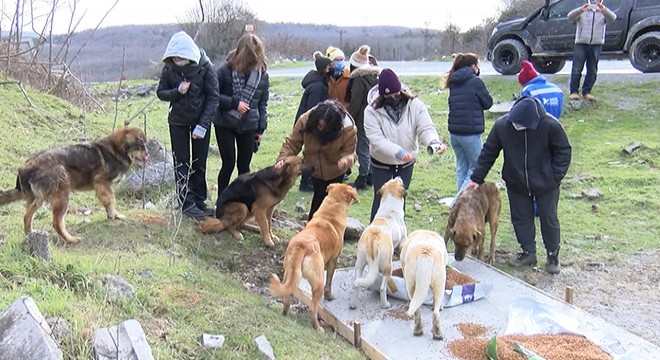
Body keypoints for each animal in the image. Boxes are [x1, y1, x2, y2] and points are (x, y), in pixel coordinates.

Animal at [0, 127, 148, 245]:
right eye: (141, 146)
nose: (148, 156)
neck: (116, 150)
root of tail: (25, 167)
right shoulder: (101, 182)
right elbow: (111, 200)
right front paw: (113, 215)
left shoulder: (103, 186)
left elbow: (109, 201)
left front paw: (114, 214)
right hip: (62, 195)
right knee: (57, 222)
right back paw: (71, 239)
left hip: (39, 198)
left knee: (27, 216)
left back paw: (29, 234)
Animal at [270, 184, 360, 330]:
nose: (355, 187)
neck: (329, 213)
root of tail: (301, 246)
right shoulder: (333, 260)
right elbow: (329, 281)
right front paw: (329, 296)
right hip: (318, 281)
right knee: (313, 307)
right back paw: (318, 328)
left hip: (289, 275)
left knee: (286, 298)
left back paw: (284, 314)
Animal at [350, 177, 408, 310]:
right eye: (399, 182)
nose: (398, 176)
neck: (390, 209)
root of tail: (373, 239)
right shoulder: (403, 242)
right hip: (388, 265)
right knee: (382, 288)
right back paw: (385, 304)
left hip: (359, 264)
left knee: (356, 284)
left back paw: (353, 304)